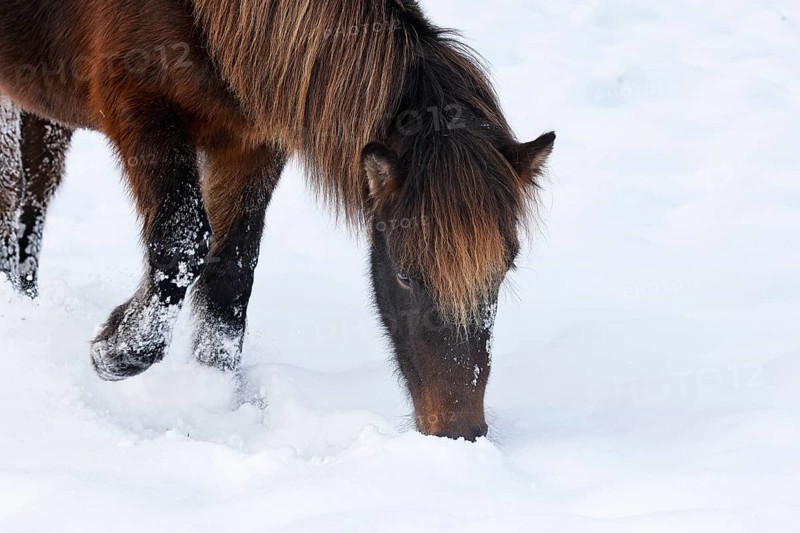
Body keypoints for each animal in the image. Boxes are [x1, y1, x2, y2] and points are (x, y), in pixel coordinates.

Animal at [0, 0, 555, 441]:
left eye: (506, 270)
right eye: (402, 275)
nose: (460, 432)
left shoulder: (251, 140)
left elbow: (230, 274)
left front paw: (211, 396)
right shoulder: (138, 105)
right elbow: (182, 240)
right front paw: (115, 352)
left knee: (34, 194)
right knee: (12, 198)